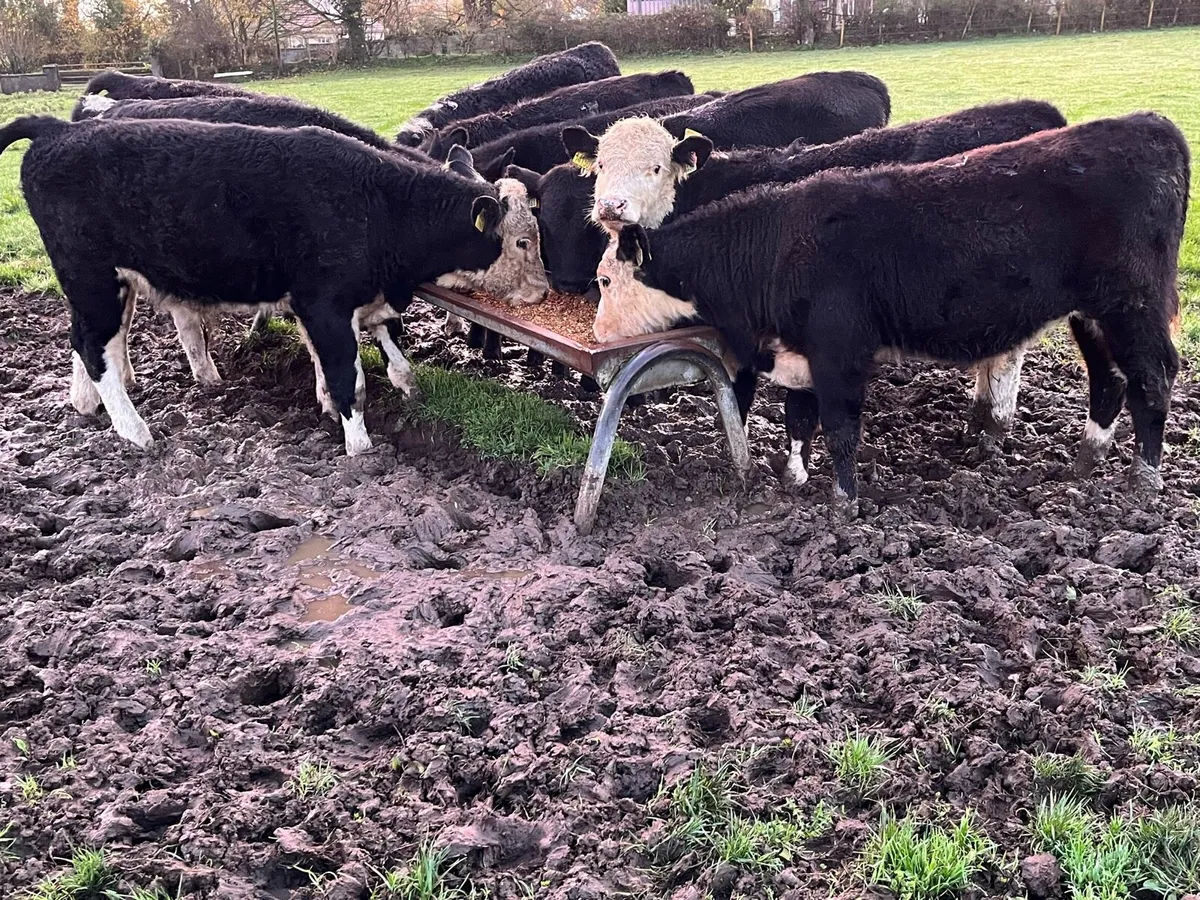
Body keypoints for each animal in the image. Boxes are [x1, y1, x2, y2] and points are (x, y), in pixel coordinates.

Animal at [1, 115, 523, 456]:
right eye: (515, 240)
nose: (537, 290)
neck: (377, 203)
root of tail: (58, 129)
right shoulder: (325, 303)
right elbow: (346, 375)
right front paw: (359, 447)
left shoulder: (333, 302)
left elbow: (361, 359)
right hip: (91, 275)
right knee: (94, 346)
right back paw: (136, 433)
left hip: (107, 283)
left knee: (90, 341)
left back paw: (87, 405)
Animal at [590, 113, 1189, 516]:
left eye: (604, 280)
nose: (596, 333)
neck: (777, 244)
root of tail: (1151, 125)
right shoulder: (799, 351)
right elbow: (799, 418)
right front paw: (794, 479)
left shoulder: (840, 350)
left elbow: (839, 427)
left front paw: (843, 504)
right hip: (1094, 313)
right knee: (1109, 380)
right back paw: (1084, 466)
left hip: (1134, 305)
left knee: (1153, 378)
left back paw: (1144, 484)